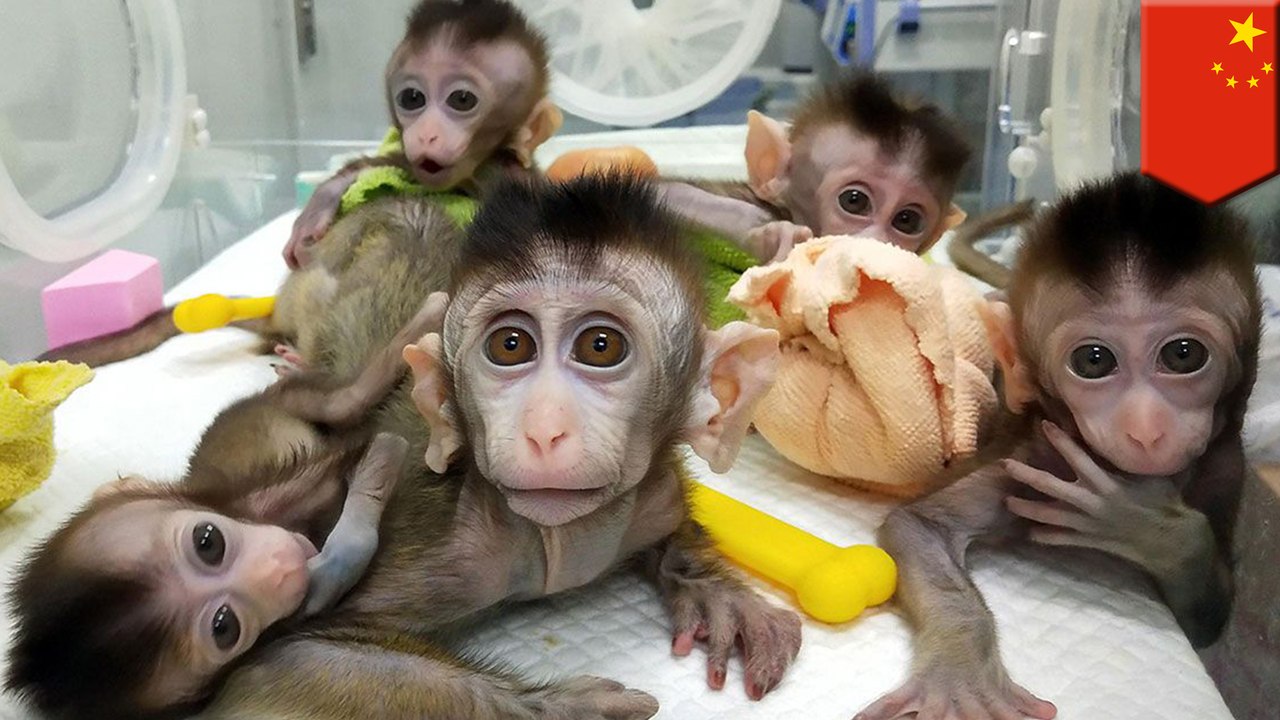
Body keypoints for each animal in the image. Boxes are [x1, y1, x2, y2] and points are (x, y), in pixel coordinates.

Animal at [8, 174, 802, 720]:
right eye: (510, 346)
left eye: (601, 346)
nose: (545, 427)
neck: (557, 539)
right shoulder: (438, 539)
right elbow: (282, 661)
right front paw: (553, 707)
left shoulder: (649, 497)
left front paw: (713, 589)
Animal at [853, 173, 1262, 720]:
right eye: (1093, 361)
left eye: (1183, 354)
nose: (1146, 427)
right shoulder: (1030, 458)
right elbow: (918, 527)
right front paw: (960, 670)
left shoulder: (1225, 464)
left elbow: (1209, 616)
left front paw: (1144, 523)